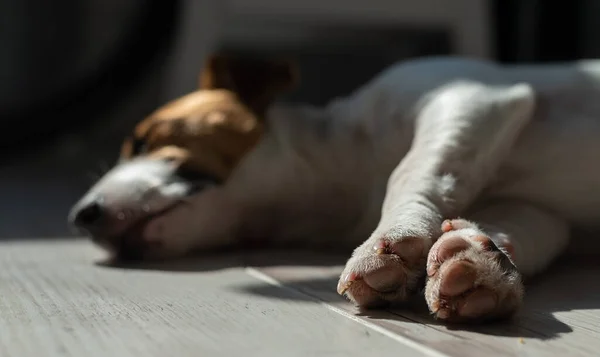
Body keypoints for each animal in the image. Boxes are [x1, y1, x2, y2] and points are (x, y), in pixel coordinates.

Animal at [68, 53, 600, 322]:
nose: (79, 218)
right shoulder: (537, 211)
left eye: (144, 140)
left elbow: (412, 170)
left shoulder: (470, 96)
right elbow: (513, 230)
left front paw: (390, 239)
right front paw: (480, 262)